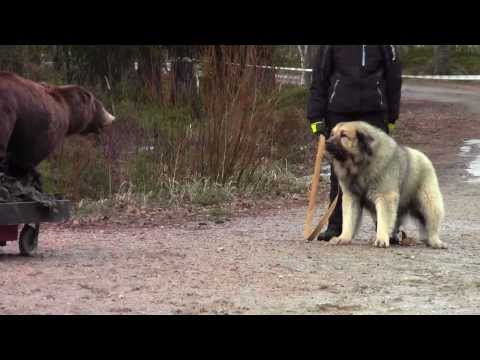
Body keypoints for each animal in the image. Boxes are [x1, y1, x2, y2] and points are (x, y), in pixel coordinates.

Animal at [326, 120, 446, 248]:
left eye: (343, 135)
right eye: (332, 134)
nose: (327, 142)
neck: (362, 164)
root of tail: (424, 157)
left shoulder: (385, 197)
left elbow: (384, 220)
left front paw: (381, 239)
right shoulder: (352, 197)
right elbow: (349, 219)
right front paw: (343, 238)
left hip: (429, 202)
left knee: (431, 222)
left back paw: (435, 241)